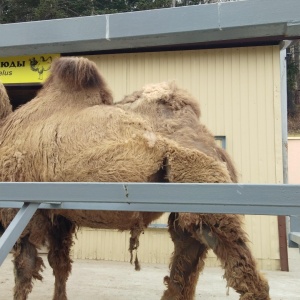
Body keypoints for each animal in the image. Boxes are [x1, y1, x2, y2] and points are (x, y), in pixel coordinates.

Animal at [0, 56, 270, 300]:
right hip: (188, 212)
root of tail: (215, 147)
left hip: (207, 196)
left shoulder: (22, 208)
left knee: (244, 275)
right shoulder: (59, 215)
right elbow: (60, 265)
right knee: (184, 268)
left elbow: (24, 269)